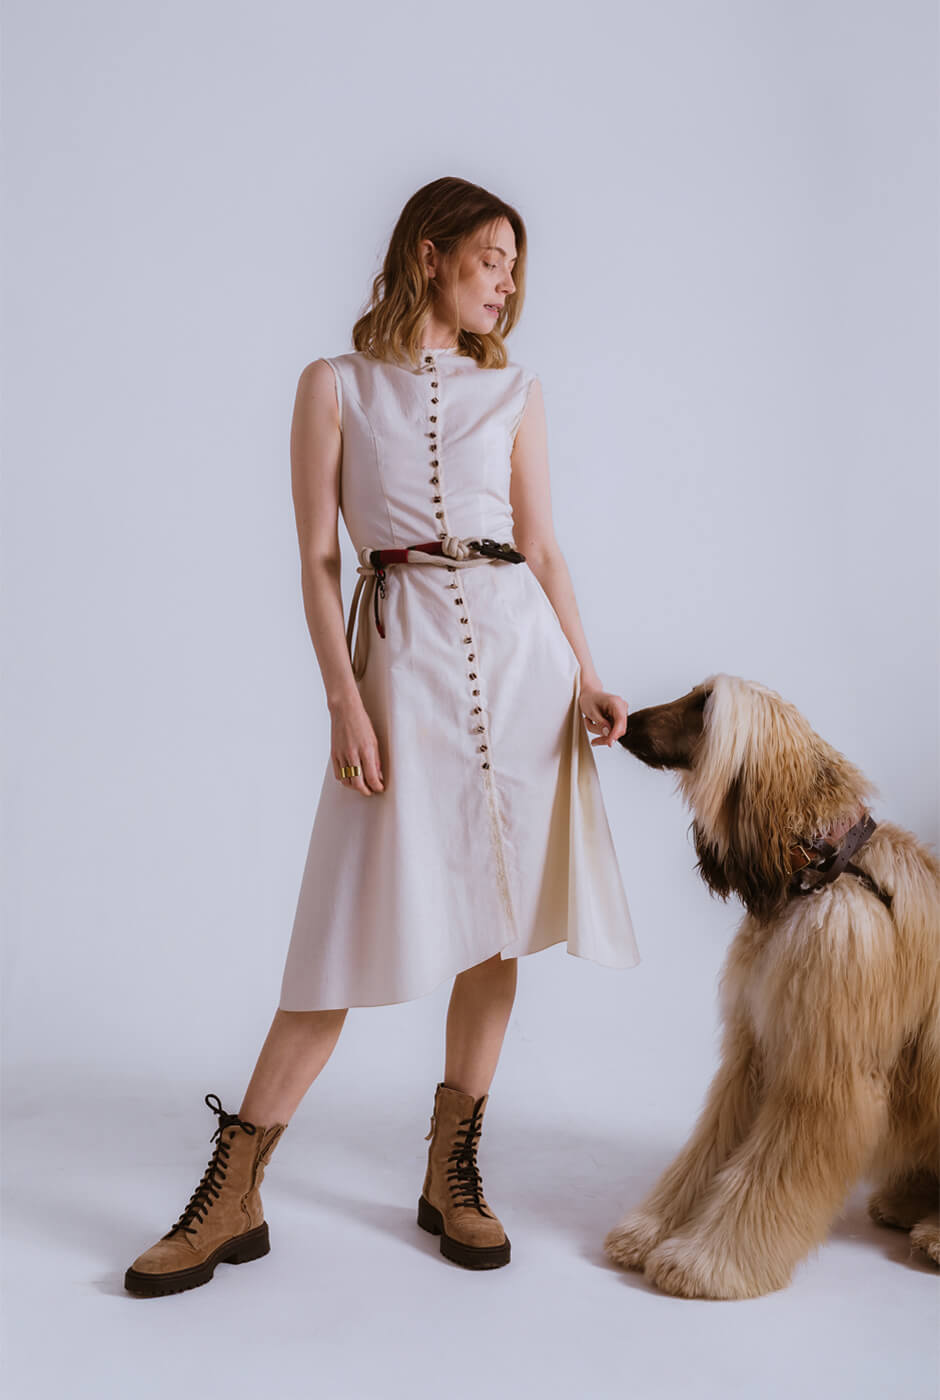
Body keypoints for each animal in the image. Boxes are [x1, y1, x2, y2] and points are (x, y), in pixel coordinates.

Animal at [604, 674, 940, 1299]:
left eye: (703, 705)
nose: (628, 722)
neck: (824, 873)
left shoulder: (823, 1067)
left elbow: (769, 1171)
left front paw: (708, 1261)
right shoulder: (758, 1045)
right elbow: (712, 1147)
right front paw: (651, 1231)